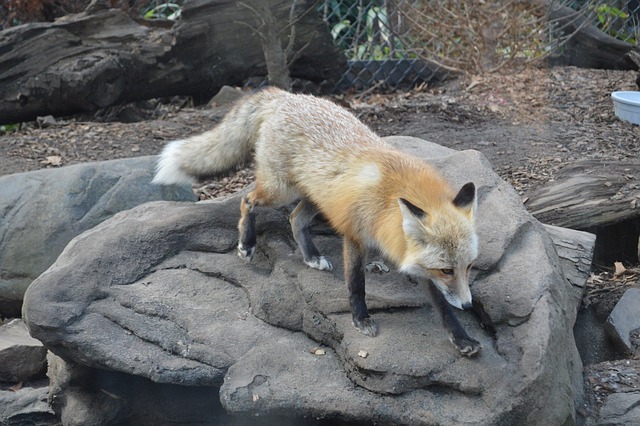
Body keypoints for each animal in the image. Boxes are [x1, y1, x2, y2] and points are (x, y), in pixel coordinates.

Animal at [151, 88, 480, 358]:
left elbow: (441, 306)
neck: (388, 196)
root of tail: (285, 95)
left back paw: (310, 256)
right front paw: (361, 319)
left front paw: (461, 339)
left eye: (468, 266)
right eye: (447, 270)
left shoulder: (410, 255)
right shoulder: (355, 235)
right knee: (248, 201)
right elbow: (356, 284)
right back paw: (247, 244)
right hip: (281, 190)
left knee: (295, 219)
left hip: (315, 196)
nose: (469, 306)